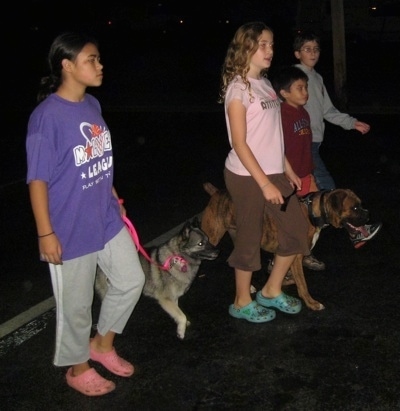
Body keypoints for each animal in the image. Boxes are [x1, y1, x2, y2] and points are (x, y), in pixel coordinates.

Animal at [202, 182, 370, 310]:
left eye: (361, 205)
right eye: (355, 208)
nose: (368, 214)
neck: (313, 213)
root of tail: (217, 193)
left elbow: (288, 276)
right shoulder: (296, 257)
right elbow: (302, 283)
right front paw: (311, 303)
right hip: (211, 237)